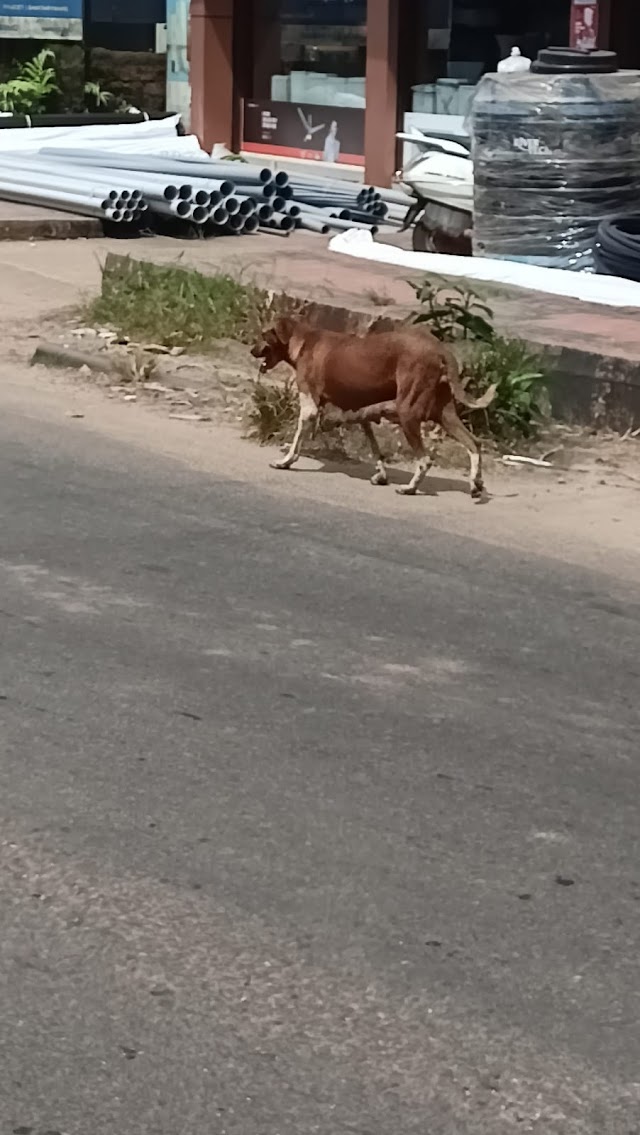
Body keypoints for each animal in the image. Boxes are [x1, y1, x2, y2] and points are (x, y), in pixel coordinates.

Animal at [253, 317, 497, 499]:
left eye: (264, 334)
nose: (251, 350)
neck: (303, 340)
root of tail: (438, 348)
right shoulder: (361, 412)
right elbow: (375, 447)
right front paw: (381, 475)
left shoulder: (310, 407)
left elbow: (297, 440)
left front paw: (285, 461)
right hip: (444, 415)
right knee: (474, 443)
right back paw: (475, 483)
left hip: (408, 413)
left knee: (425, 459)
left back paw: (410, 488)